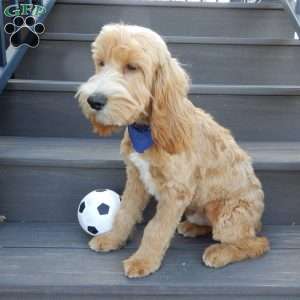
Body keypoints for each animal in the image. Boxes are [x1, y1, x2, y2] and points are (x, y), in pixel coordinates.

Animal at [75, 24, 270, 278]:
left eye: (132, 67)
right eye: (101, 63)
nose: (93, 101)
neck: (147, 129)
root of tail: (257, 222)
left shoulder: (175, 192)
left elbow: (155, 229)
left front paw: (143, 261)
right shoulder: (136, 177)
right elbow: (125, 211)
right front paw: (112, 239)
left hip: (229, 216)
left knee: (255, 243)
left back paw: (219, 253)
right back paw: (192, 226)